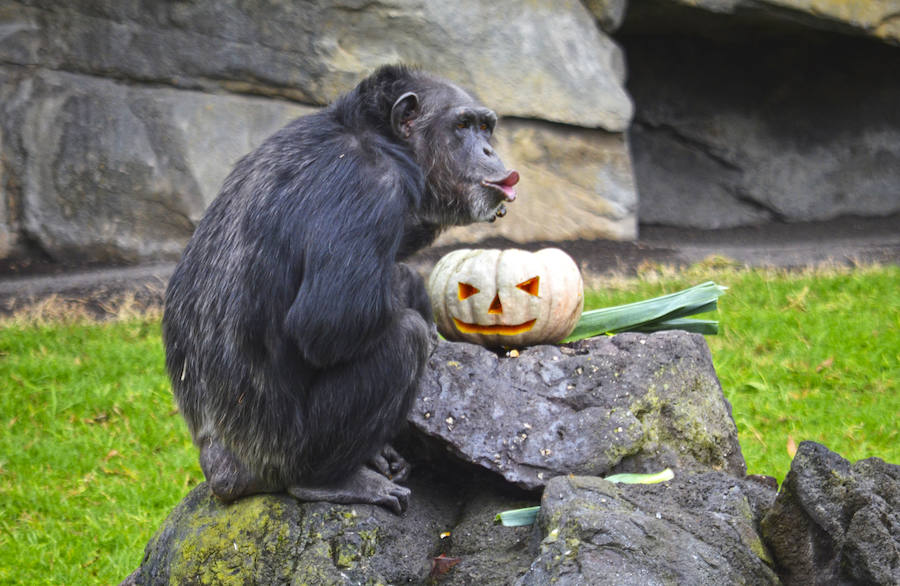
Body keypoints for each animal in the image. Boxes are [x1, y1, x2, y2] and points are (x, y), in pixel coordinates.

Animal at [158, 65, 516, 512]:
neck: (382, 140)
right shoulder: (370, 187)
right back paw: (334, 481)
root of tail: (223, 469)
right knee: (404, 338)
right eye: (463, 125)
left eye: (486, 127)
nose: (487, 151)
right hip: (289, 454)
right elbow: (329, 322)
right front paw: (409, 288)